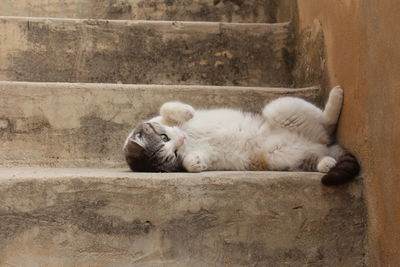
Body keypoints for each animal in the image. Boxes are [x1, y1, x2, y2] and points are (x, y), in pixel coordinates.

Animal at [122, 87, 360, 185]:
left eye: (164, 137)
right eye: (173, 155)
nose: (181, 140)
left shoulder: (164, 115)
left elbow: (167, 107)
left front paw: (186, 112)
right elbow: (193, 163)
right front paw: (194, 163)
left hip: (280, 107)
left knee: (327, 123)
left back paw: (337, 95)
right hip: (284, 159)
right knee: (321, 152)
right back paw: (327, 163)